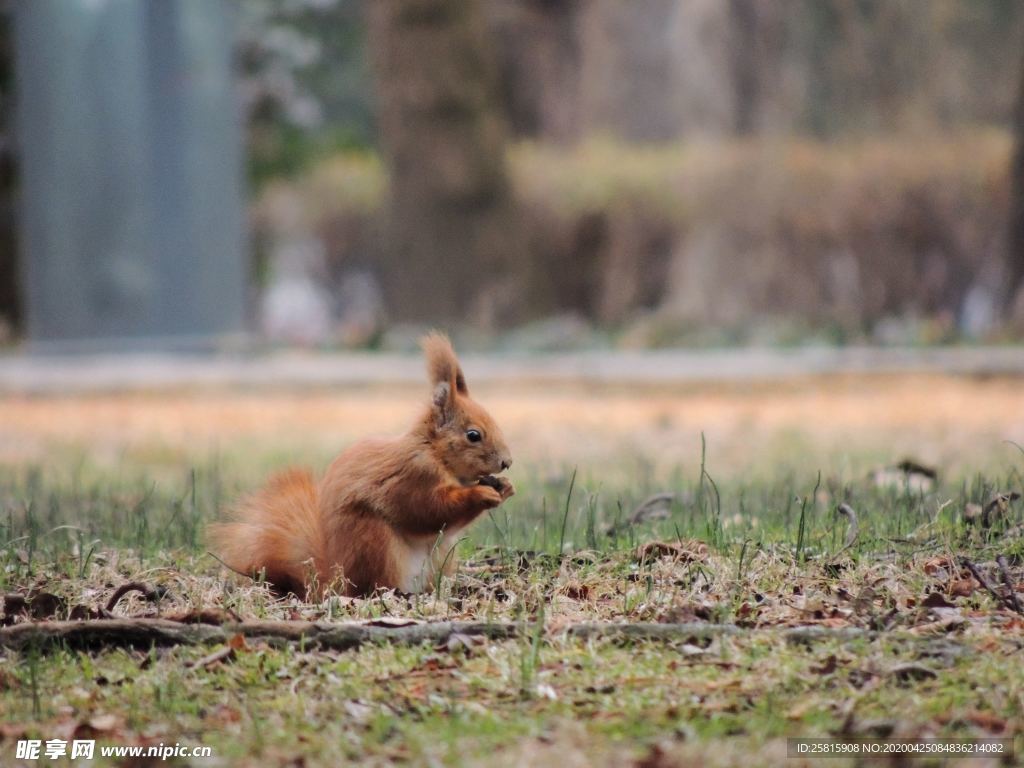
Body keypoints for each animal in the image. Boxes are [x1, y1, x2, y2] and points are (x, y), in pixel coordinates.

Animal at [208, 333, 516, 606]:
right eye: (473, 435)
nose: (507, 462)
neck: (435, 454)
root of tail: (334, 582)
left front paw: (505, 488)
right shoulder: (410, 476)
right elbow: (426, 509)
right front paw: (481, 495)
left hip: (442, 555)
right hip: (375, 544)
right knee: (375, 585)